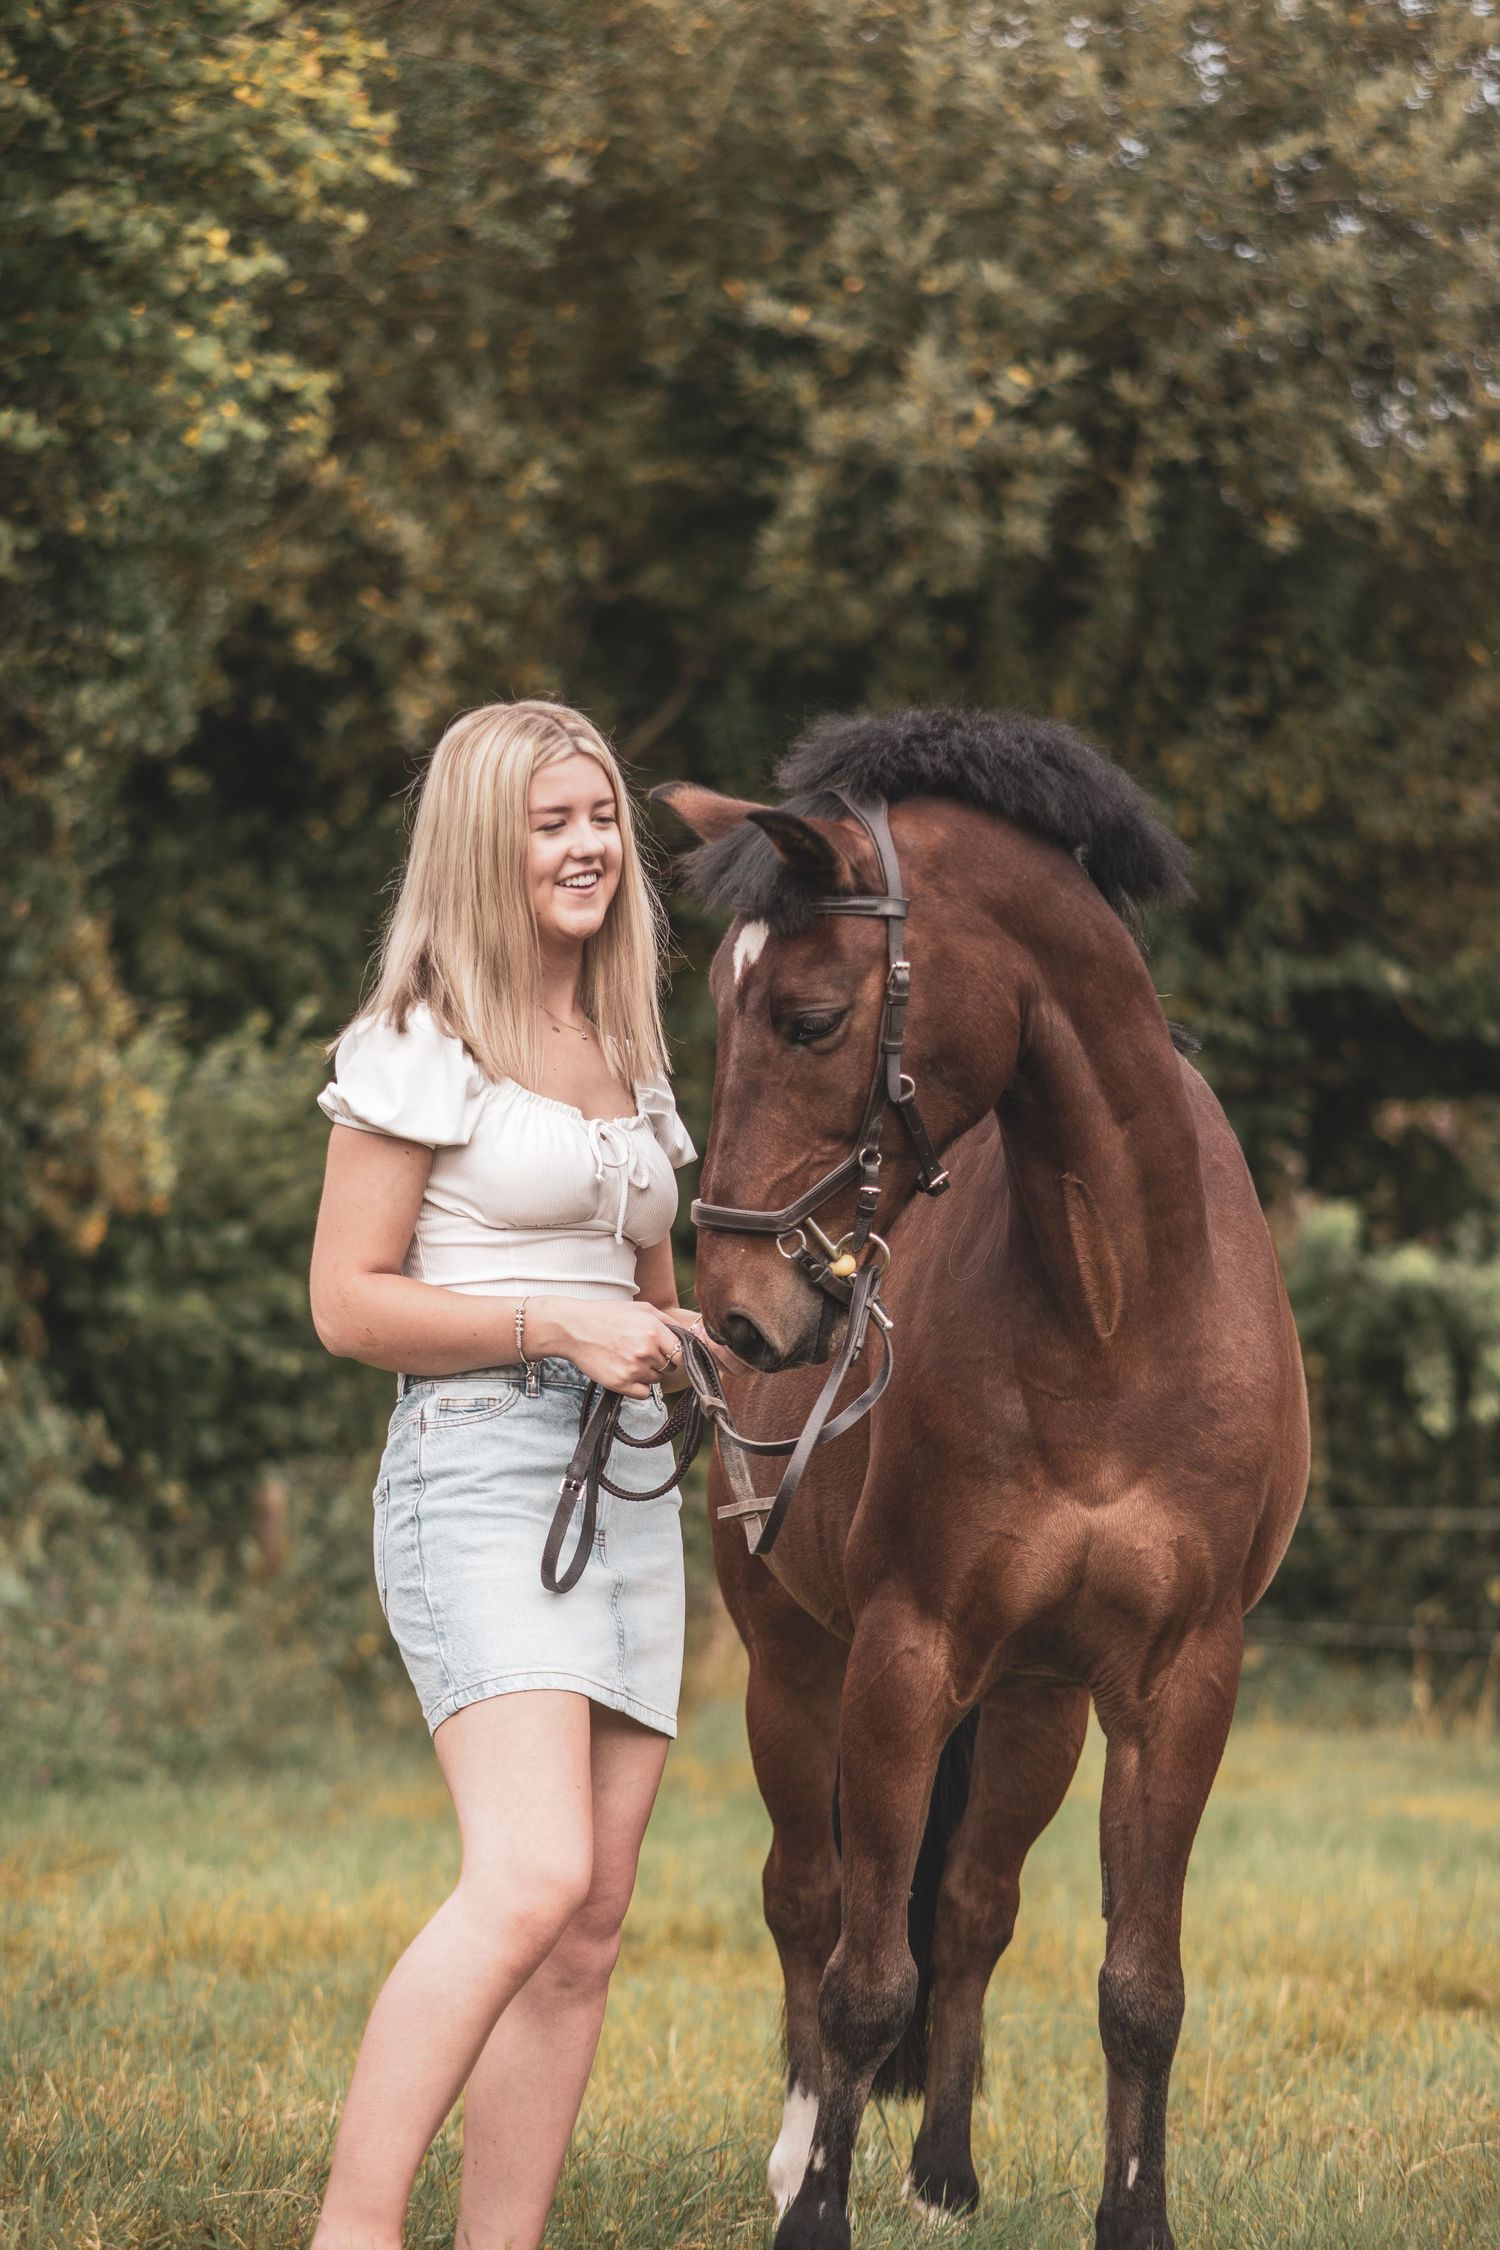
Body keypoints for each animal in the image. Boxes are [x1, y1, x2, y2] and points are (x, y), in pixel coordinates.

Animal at [651, 707, 1310, 2250]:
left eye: (810, 1016)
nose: (741, 1317)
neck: (1116, 1308)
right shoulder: (903, 1656)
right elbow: (859, 1975)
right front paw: (813, 2214)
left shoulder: (1178, 1681)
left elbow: (1139, 1987)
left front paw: (1132, 2219)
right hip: (796, 1671)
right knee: (810, 1898)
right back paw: (796, 2150)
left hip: (1034, 1708)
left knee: (971, 1905)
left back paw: (946, 2172)